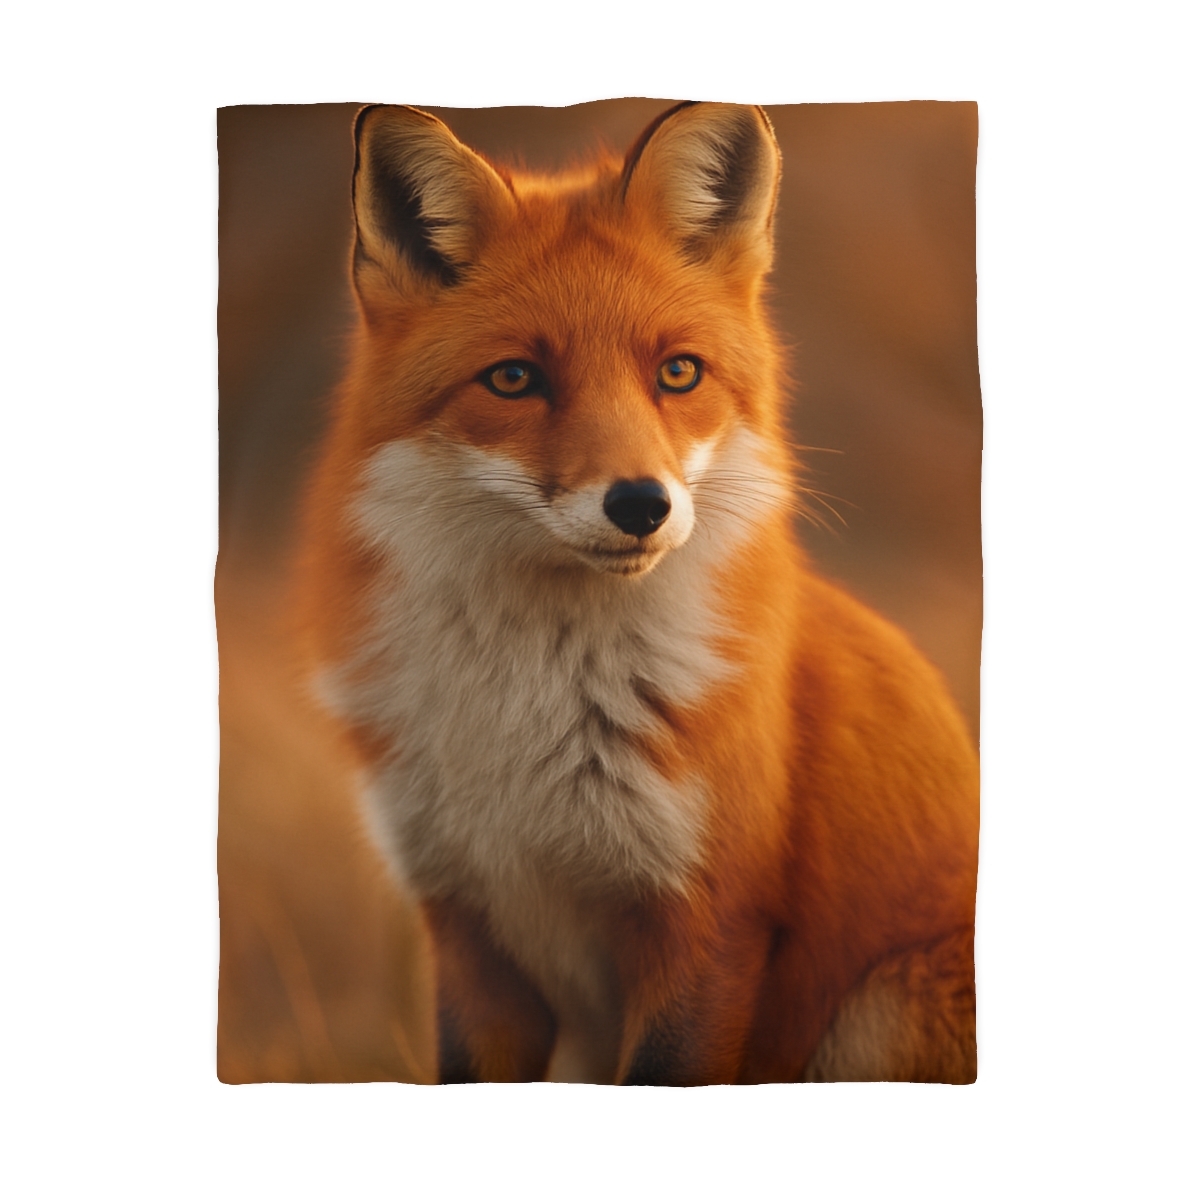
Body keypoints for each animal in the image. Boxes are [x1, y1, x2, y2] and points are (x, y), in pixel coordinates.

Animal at [296, 101, 979, 1085]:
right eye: (514, 378)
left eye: (678, 373)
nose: (641, 505)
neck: (530, 712)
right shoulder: (467, 933)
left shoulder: (708, 922)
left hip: (880, 1012)